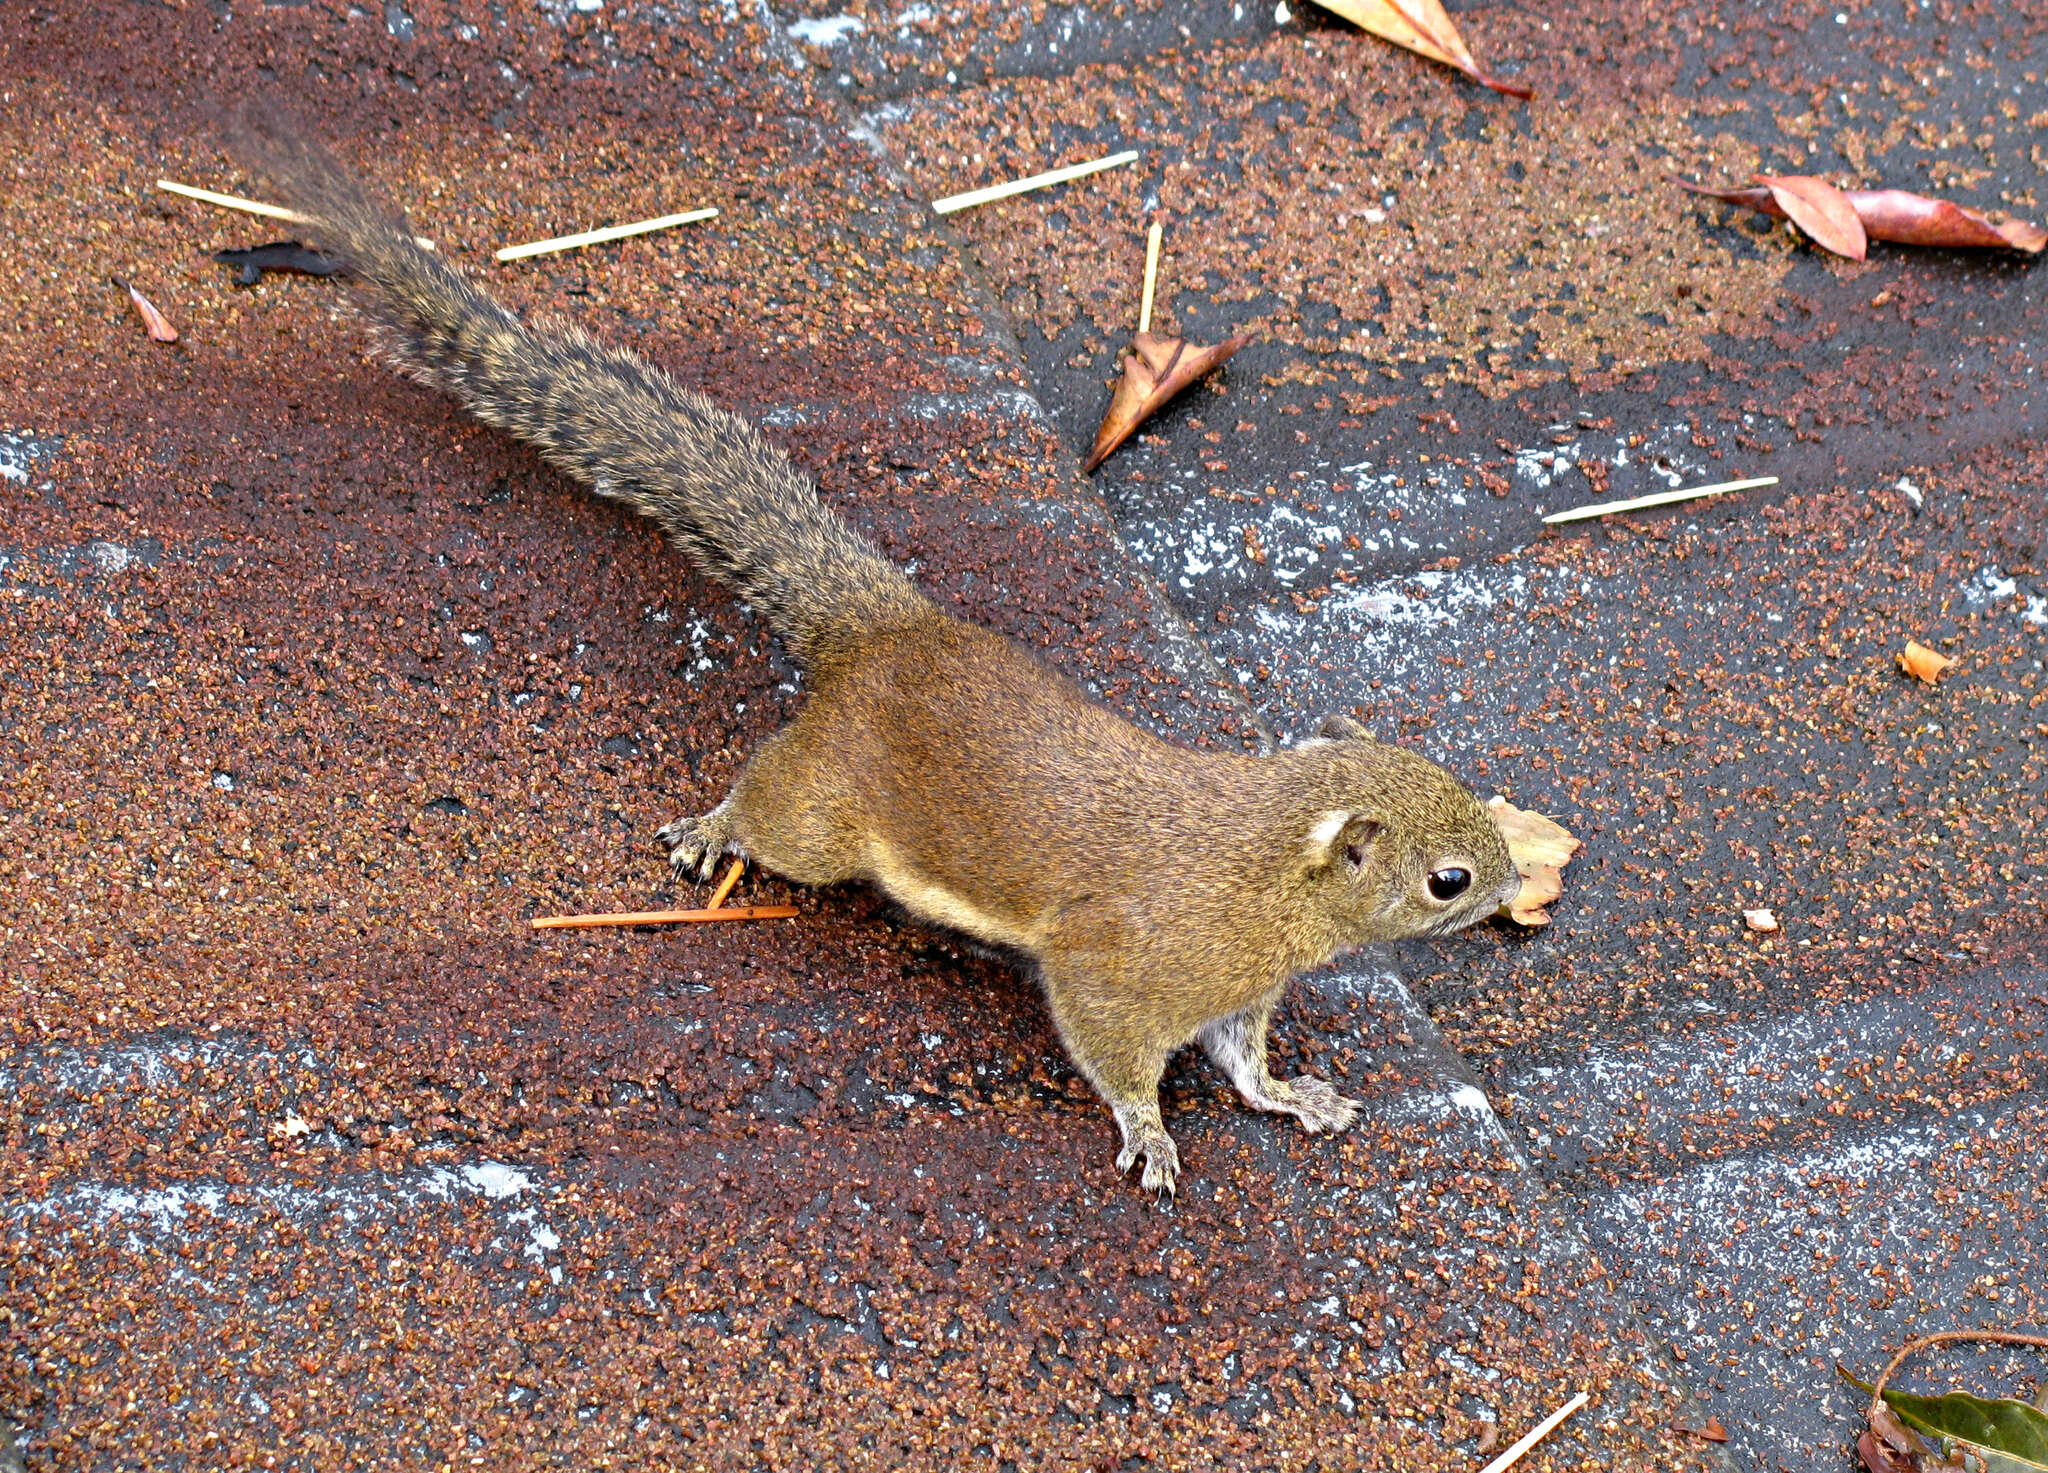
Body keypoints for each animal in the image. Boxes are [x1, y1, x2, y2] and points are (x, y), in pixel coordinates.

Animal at [235, 115, 1523, 1196]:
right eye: (1446, 877)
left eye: (1467, 800)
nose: (1517, 887)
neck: (1259, 866)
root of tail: (885, 631)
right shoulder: (1119, 961)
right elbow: (1114, 1053)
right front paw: (1150, 1135)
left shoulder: (1234, 991)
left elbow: (1243, 1062)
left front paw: (1294, 1094)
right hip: (820, 821)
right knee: (769, 801)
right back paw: (713, 830)